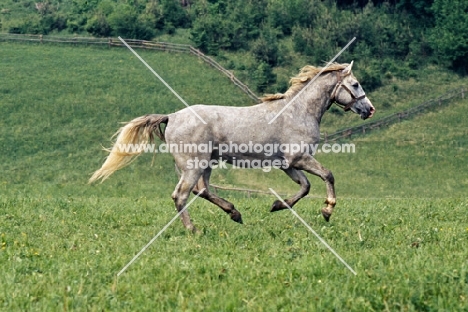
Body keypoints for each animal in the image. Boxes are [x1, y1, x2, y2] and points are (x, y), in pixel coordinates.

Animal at [89, 61, 376, 232]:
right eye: (355, 84)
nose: (370, 109)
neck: (298, 112)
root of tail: (171, 117)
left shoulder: (288, 165)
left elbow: (304, 187)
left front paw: (277, 205)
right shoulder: (299, 159)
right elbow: (328, 175)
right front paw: (327, 210)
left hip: (204, 165)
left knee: (202, 190)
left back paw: (234, 213)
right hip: (193, 165)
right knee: (181, 195)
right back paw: (193, 229)